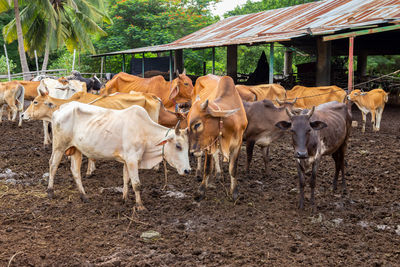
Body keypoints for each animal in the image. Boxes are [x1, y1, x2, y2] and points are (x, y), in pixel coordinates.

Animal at [47, 102, 191, 211]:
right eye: (178, 146)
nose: (187, 170)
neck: (144, 131)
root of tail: (61, 108)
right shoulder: (132, 159)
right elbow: (136, 184)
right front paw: (140, 206)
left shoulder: (127, 161)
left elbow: (126, 179)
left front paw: (124, 199)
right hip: (59, 146)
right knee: (53, 165)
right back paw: (50, 191)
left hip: (76, 149)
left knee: (75, 171)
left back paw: (84, 196)